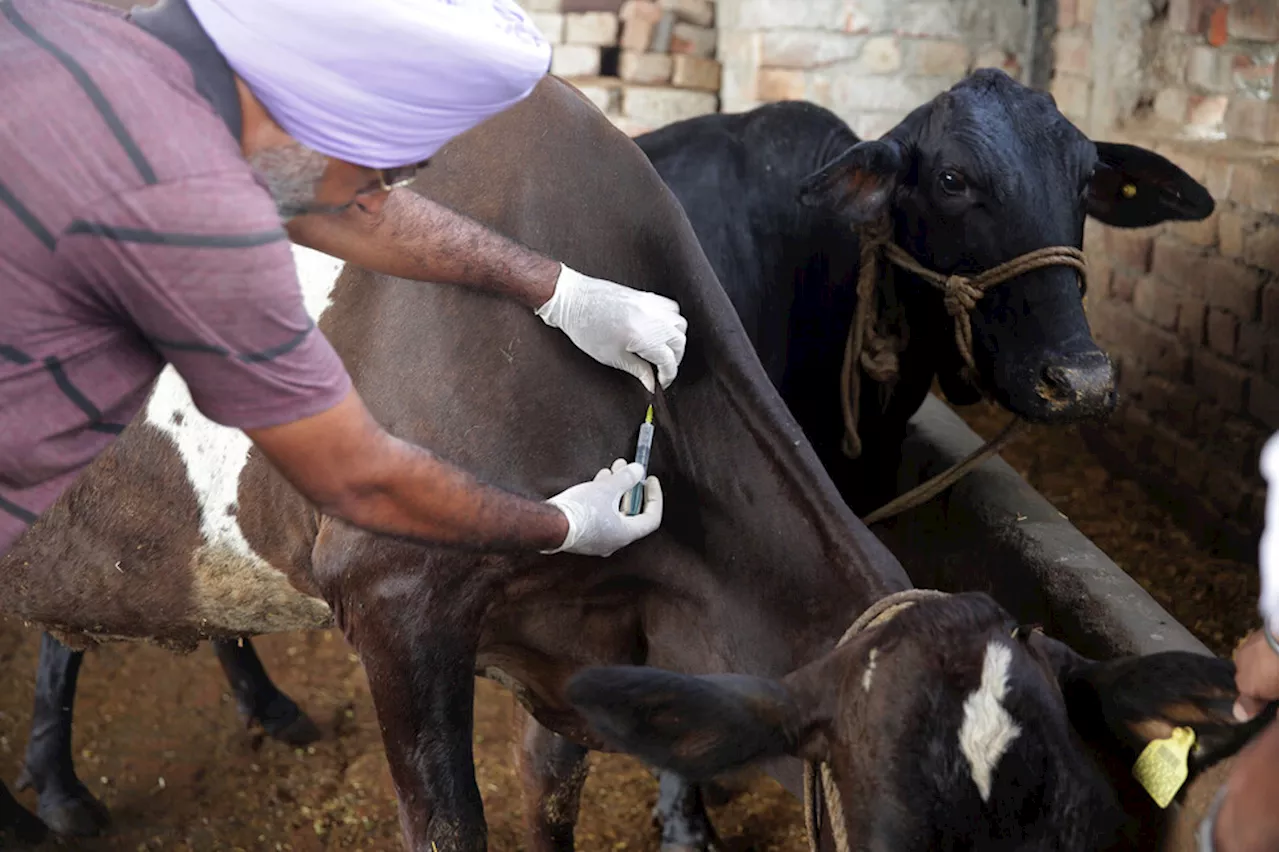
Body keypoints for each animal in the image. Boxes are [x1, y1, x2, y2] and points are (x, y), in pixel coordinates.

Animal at [0, 76, 1259, 844]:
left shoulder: (572, 635)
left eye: (1087, 180)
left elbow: (552, 792)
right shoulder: (399, 594)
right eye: (949, 181)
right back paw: (56, 792)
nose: (1081, 378)